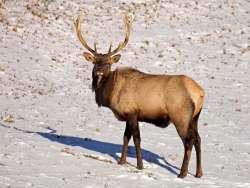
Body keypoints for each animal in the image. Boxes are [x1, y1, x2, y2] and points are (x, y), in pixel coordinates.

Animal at [73, 14, 205, 178]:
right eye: (95, 62)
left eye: (108, 63)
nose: (99, 72)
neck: (111, 93)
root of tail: (200, 93)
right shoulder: (128, 115)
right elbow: (125, 137)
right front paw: (121, 161)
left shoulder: (132, 112)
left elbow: (136, 139)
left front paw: (140, 165)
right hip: (195, 117)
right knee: (198, 139)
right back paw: (199, 173)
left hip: (180, 115)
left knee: (188, 141)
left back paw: (182, 173)